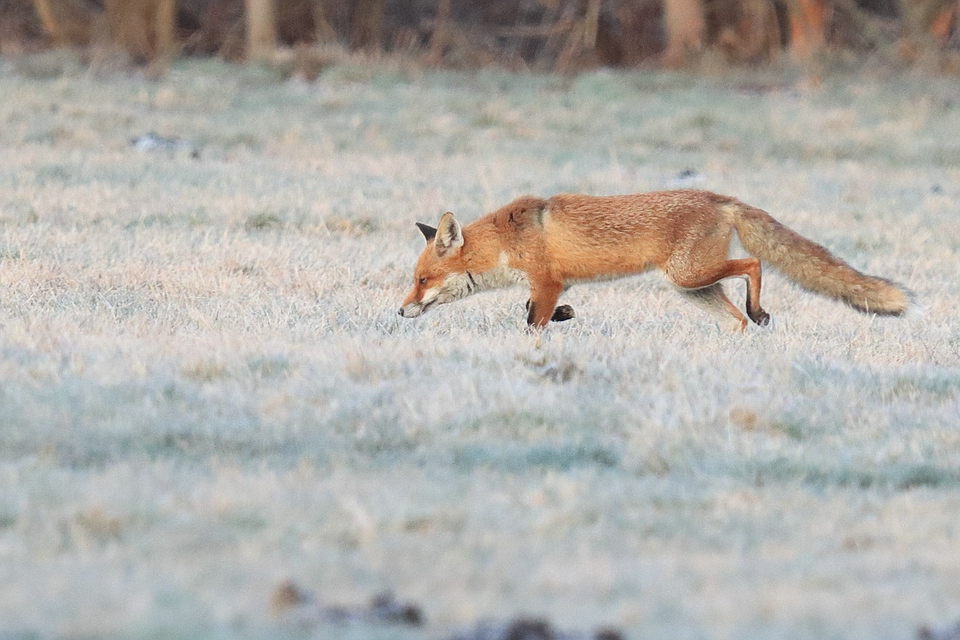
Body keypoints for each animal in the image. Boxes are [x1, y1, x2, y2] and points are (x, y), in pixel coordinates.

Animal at [400, 189, 916, 330]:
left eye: (423, 280)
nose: (399, 311)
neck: (510, 239)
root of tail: (719, 198)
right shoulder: (553, 286)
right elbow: (541, 313)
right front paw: (567, 317)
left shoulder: (547, 281)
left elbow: (533, 325)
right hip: (694, 287)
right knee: (734, 320)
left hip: (687, 275)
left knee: (753, 267)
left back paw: (760, 311)